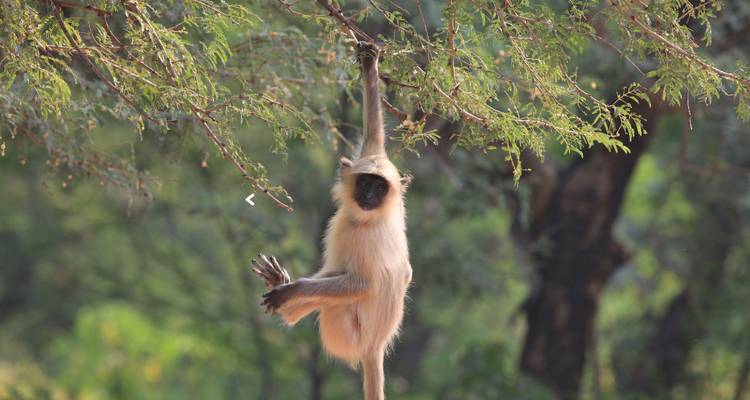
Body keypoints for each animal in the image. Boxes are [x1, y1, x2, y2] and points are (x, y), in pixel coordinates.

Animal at [251, 41, 412, 400]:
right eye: (365, 183)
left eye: (379, 188)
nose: (369, 196)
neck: (363, 219)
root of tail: (375, 348)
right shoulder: (380, 172)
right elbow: (374, 137)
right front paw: (369, 66)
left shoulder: (370, 237)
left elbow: (365, 284)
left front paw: (293, 289)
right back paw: (280, 286)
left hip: (345, 332)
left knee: (334, 295)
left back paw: (287, 299)